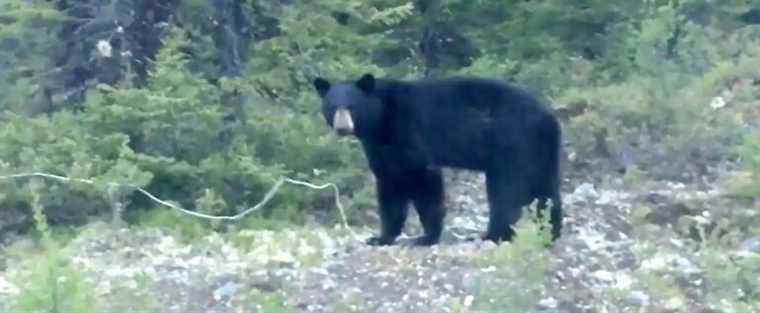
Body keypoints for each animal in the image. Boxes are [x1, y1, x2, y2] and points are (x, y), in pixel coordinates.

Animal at [312, 74, 560, 245]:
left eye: (352, 107)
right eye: (332, 107)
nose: (342, 127)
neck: (381, 119)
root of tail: (547, 116)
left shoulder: (409, 132)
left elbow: (423, 179)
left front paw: (425, 237)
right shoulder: (381, 148)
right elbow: (389, 183)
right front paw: (381, 237)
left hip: (511, 142)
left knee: (506, 190)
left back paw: (493, 234)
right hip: (538, 149)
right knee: (547, 189)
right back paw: (551, 231)